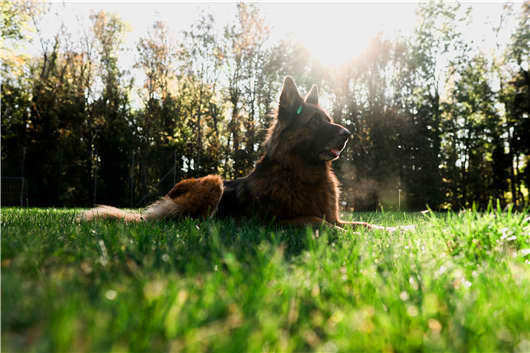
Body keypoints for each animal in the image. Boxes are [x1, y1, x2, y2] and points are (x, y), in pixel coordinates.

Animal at [81, 76, 396, 231]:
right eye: (316, 122)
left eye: (328, 119)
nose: (348, 134)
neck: (301, 173)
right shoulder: (282, 222)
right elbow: (323, 224)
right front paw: (347, 238)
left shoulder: (337, 217)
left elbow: (366, 223)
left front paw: (395, 231)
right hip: (213, 181)